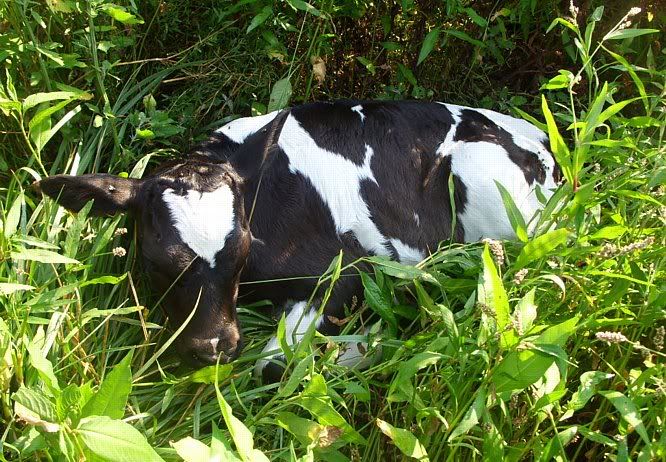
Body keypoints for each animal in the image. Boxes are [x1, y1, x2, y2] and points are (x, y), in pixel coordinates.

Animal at [35, 100, 561, 383]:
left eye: (241, 249)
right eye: (156, 262)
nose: (214, 347)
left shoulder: (351, 268)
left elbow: (272, 365)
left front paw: (361, 349)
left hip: (488, 188)